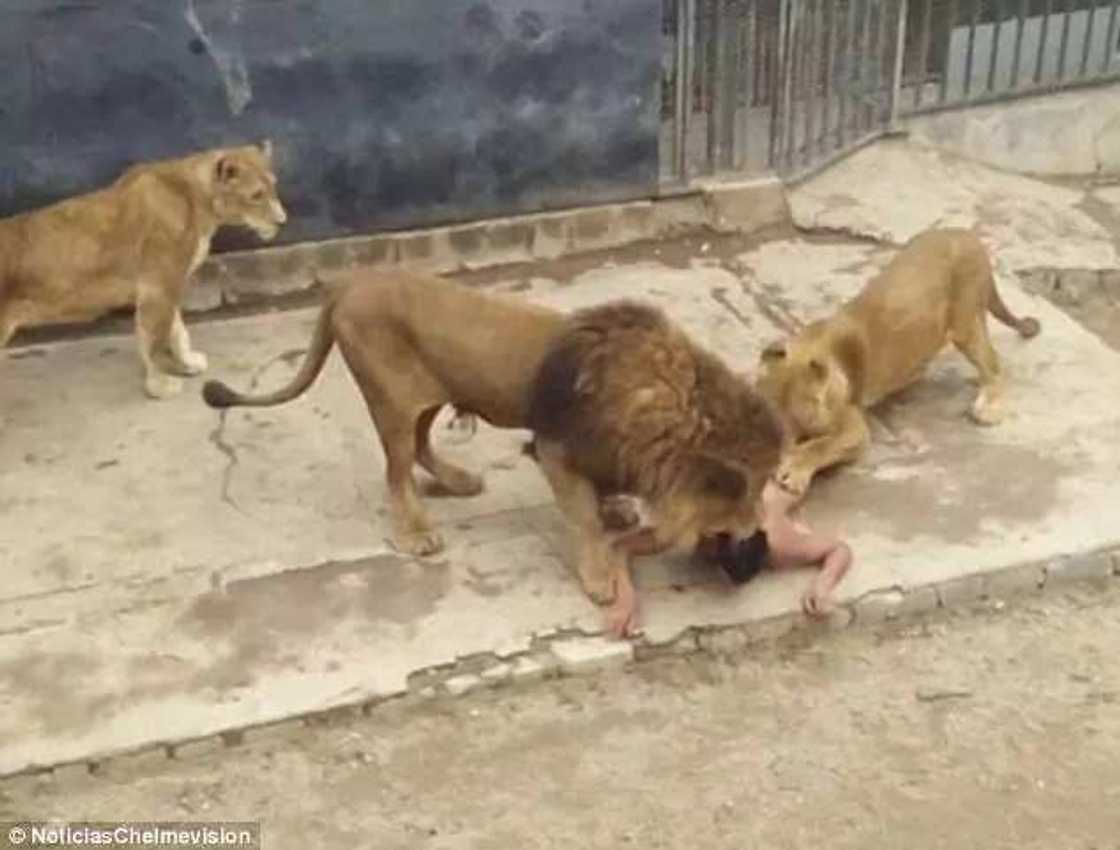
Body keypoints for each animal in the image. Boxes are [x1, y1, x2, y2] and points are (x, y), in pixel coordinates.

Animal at [0, 142, 286, 399]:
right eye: (256, 195)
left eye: (274, 187)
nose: (283, 221)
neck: (198, 200)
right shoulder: (159, 285)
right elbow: (156, 340)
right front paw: (161, 386)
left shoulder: (166, 283)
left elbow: (175, 330)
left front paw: (187, 363)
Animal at [525, 300, 788, 635]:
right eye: (756, 487)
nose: (761, 525)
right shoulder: (558, 449)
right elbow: (586, 519)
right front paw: (599, 579)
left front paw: (616, 511)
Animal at [757, 227, 1040, 496]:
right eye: (771, 415)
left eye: (803, 415)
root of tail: (969, 236)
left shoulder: (854, 428)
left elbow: (820, 445)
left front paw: (794, 470)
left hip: (965, 322)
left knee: (992, 363)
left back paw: (988, 408)